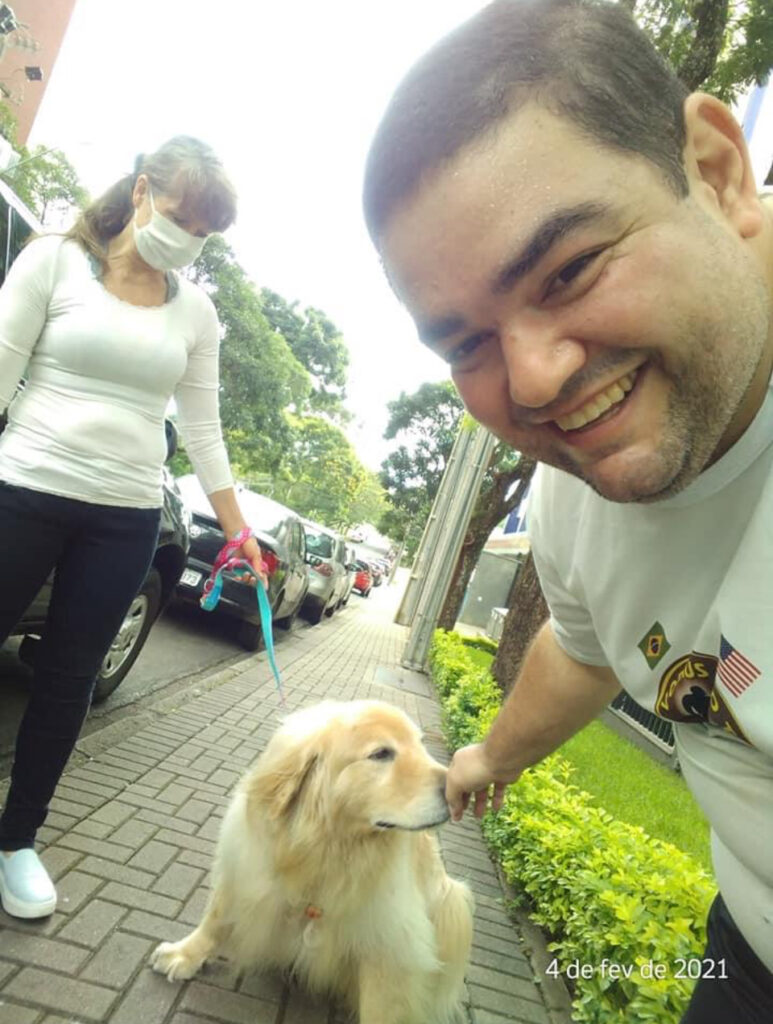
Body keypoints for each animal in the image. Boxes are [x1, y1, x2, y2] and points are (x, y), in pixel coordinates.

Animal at [151, 699, 473, 1023]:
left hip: (450, 901)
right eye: (381, 754)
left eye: (420, 746)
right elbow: (215, 918)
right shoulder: (245, 865)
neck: (325, 848)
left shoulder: (390, 944)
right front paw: (184, 953)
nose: (460, 792)